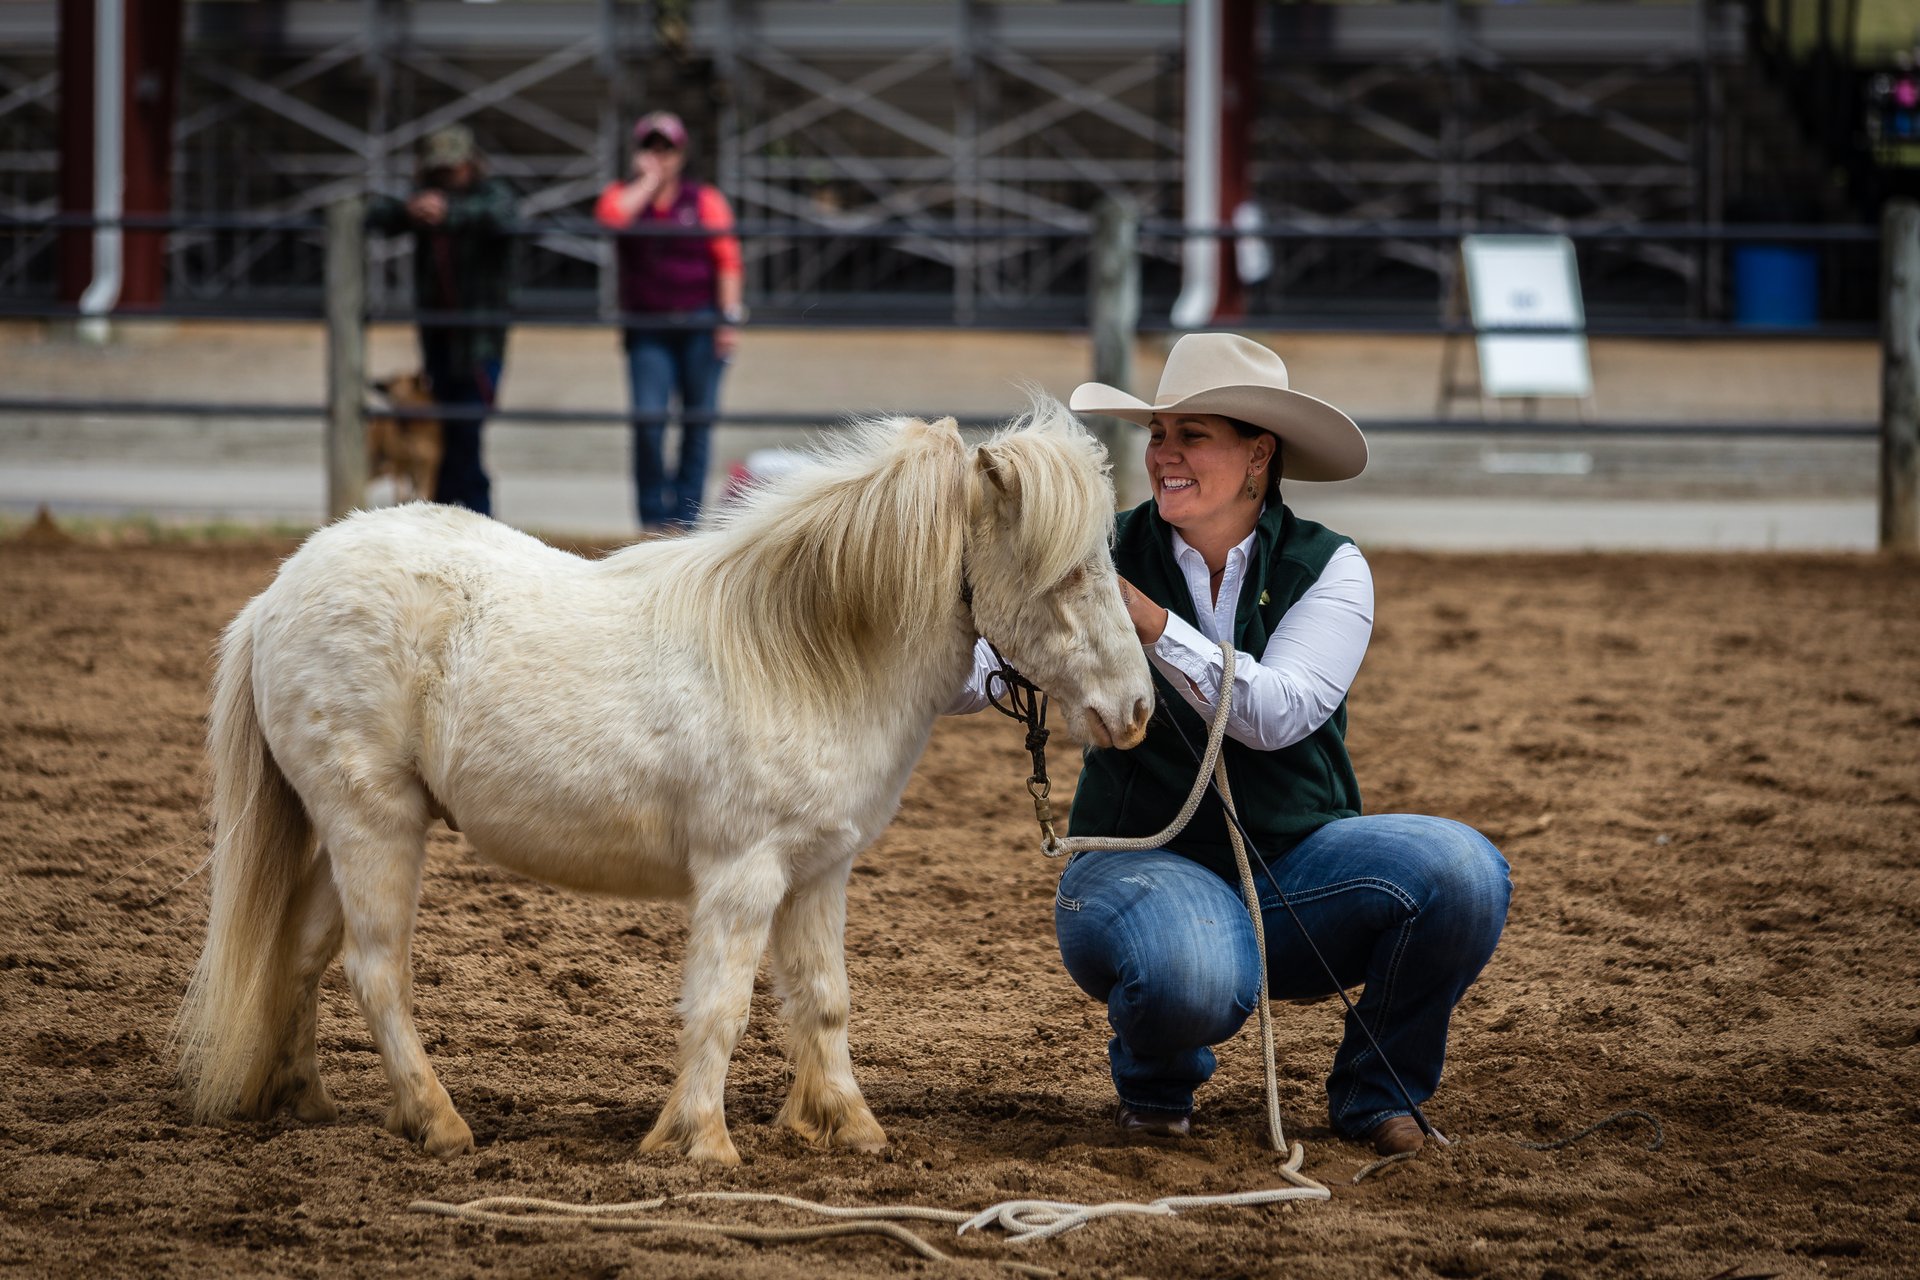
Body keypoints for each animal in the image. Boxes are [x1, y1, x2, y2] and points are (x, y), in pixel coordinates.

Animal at [176, 404, 1136, 1166]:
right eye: (1069, 572)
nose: (1134, 710)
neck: (805, 657)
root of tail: (277, 594)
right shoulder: (743, 876)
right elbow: (720, 1008)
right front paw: (700, 1143)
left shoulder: (820, 872)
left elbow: (822, 1000)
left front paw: (849, 1129)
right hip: (374, 826)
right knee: (375, 970)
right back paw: (437, 1121)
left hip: (348, 832)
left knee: (301, 949)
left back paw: (304, 1099)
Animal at [364, 370, 443, 498]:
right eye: (391, 399)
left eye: (407, 399)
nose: (397, 421)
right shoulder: (400, 464)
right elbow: (401, 495)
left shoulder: (429, 465)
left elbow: (424, 493)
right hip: (376, 460)